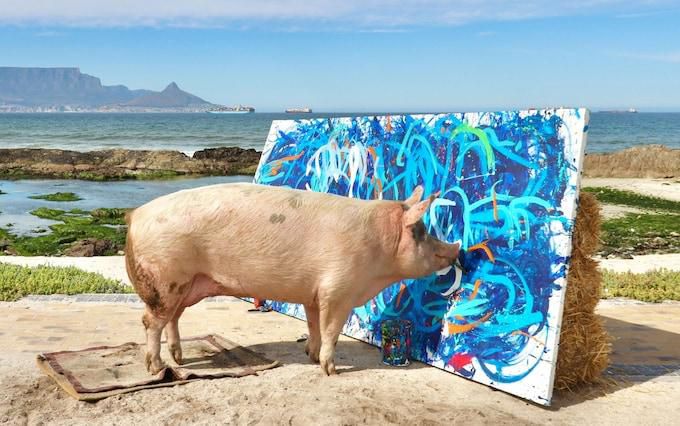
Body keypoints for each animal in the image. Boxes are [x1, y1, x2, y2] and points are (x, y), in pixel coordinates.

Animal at [124, 182, 460, 376]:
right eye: (420, 232)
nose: (457, 248)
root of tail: (135, 217)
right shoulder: (338, 290)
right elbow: (331, 330)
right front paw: (330, 370)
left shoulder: (313, 293)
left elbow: (313, 326)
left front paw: (310, 355)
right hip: (166, 278)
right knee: (150, 321)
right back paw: (157, 368)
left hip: (187, 284)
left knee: (172, 318)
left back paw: (179, 360)